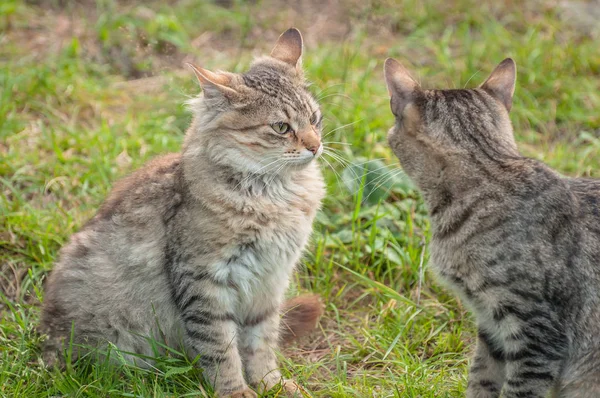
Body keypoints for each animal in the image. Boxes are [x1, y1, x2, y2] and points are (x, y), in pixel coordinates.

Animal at [41, 28, 328, 398]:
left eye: (315, 119)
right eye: (281, 127)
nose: (315, 146)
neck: (274, 195)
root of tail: (44, 342)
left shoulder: (270, 282)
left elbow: (262, 342)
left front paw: (272, 384)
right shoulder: (204, 281)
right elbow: (221, 349)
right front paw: (236, 391)